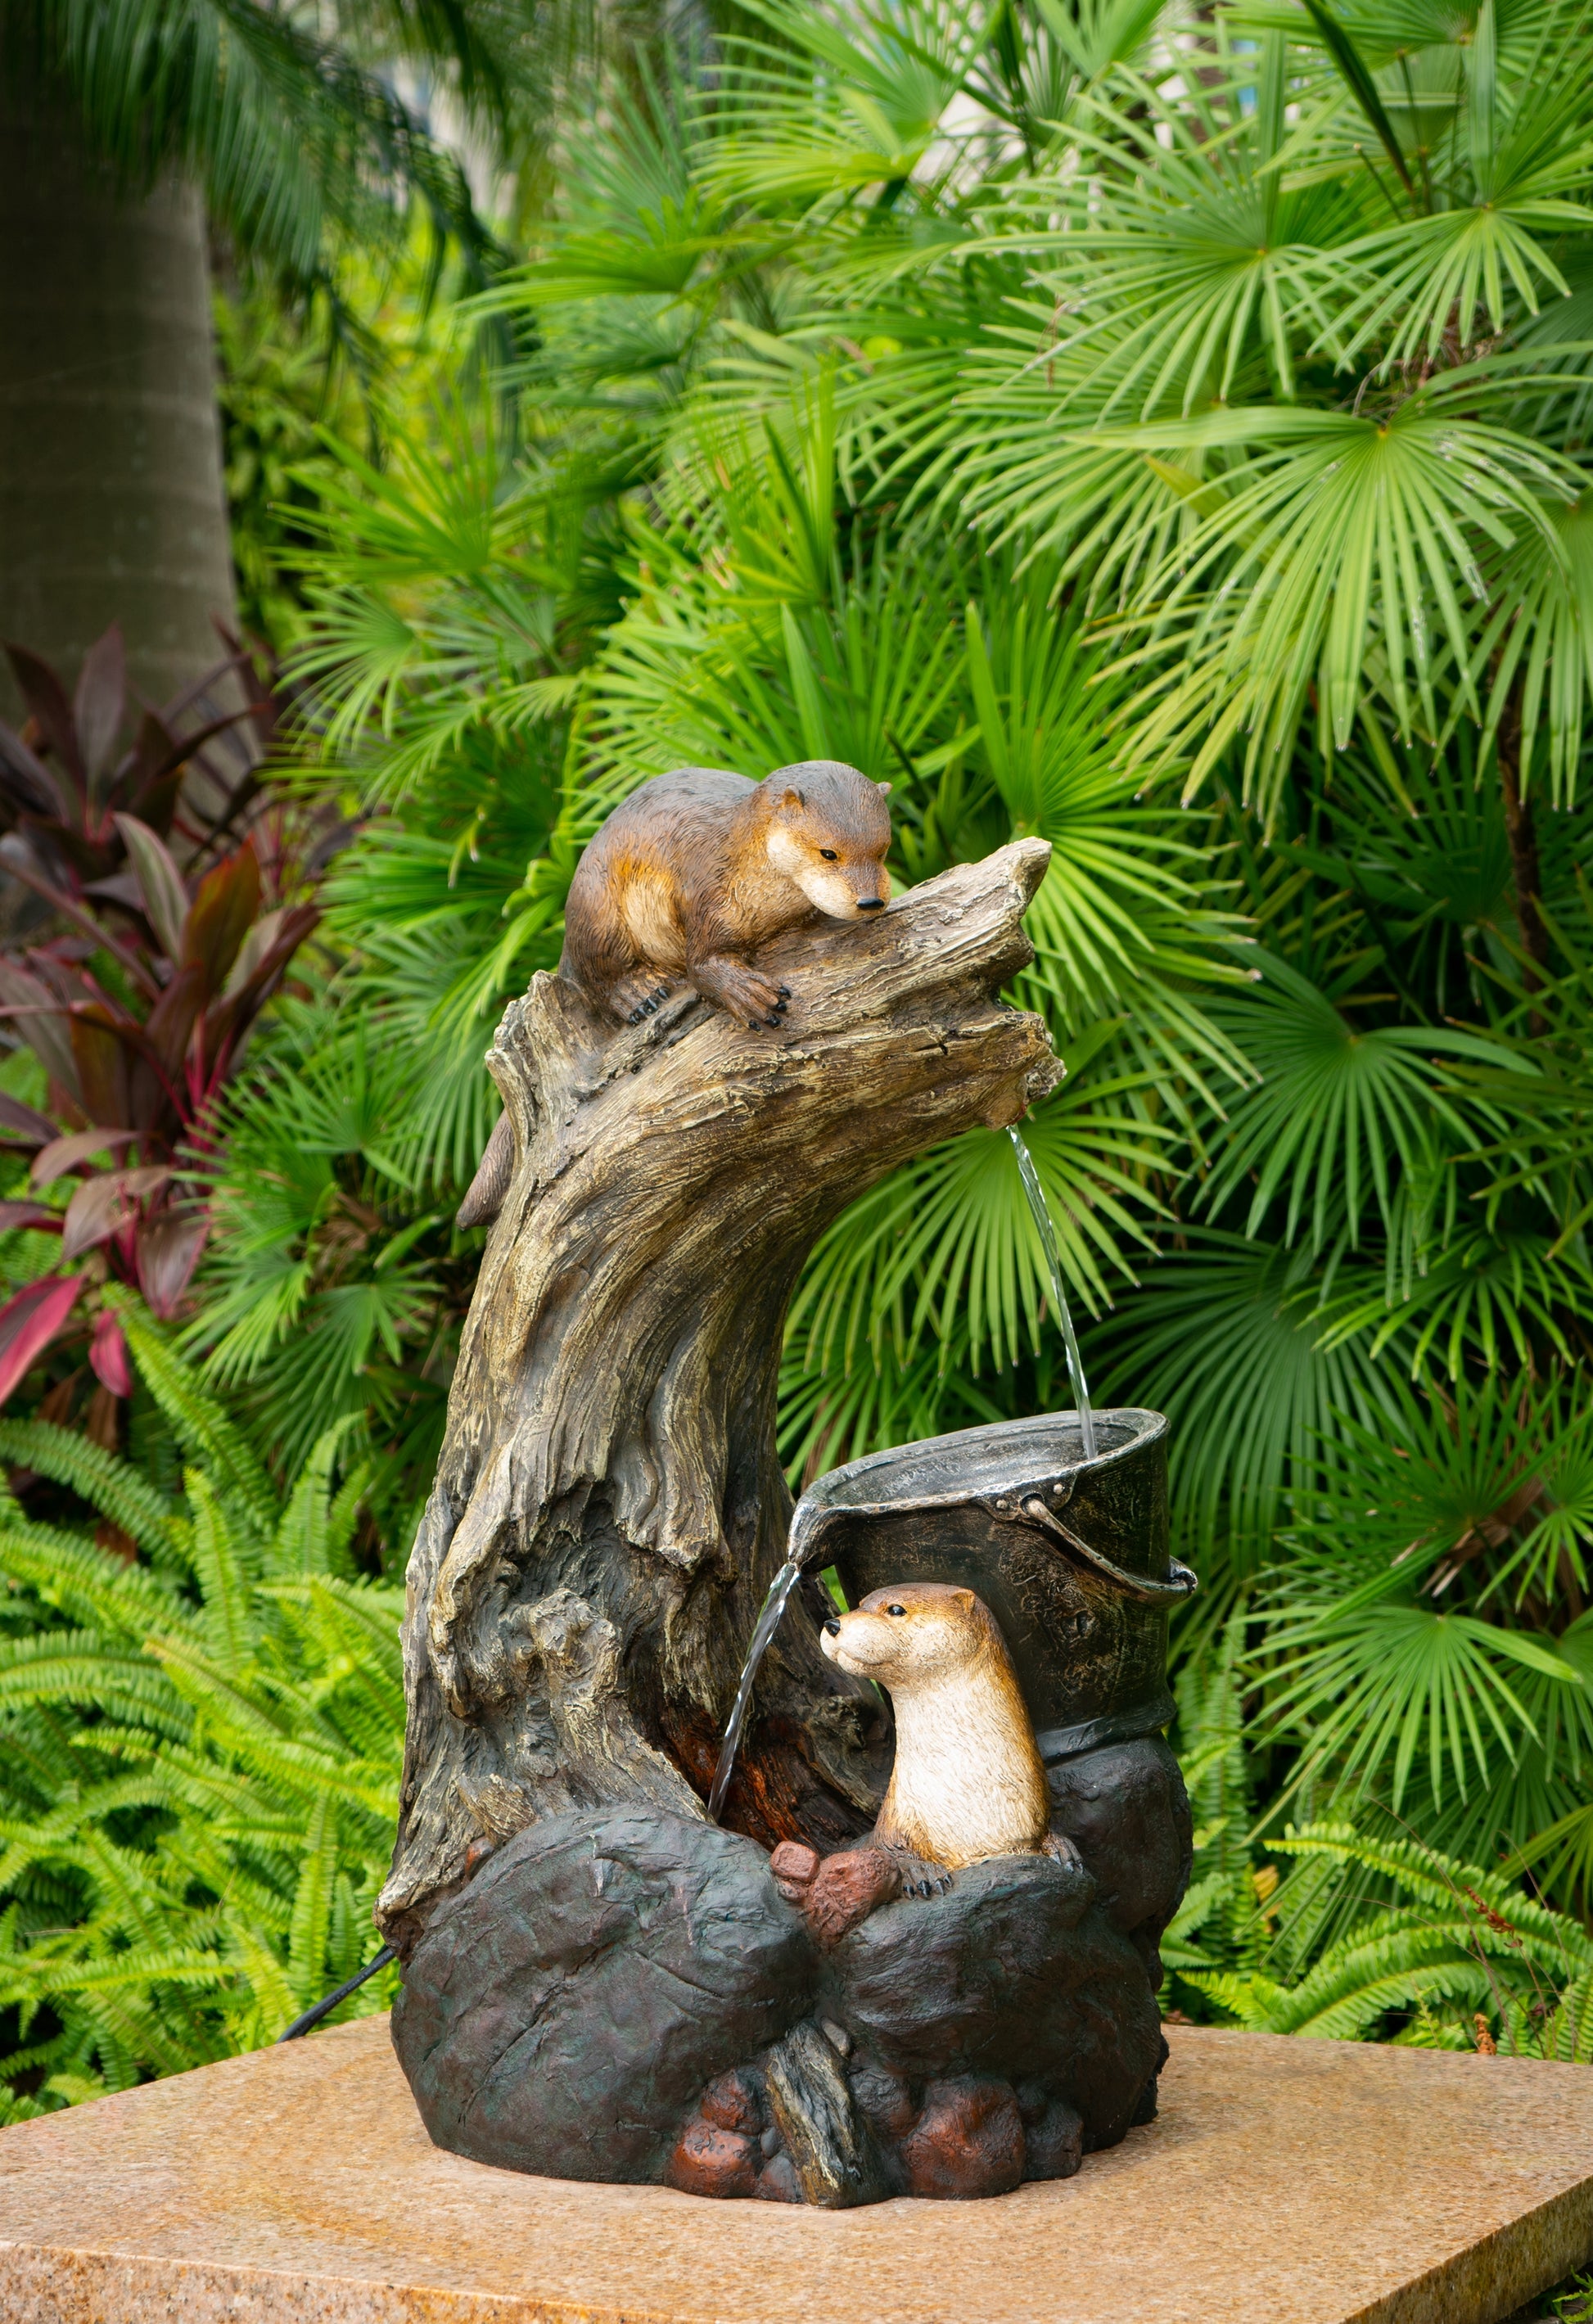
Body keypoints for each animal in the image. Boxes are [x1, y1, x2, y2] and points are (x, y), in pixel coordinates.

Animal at [560, 760, 893, 1031]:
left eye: (882, 851)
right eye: (828, 853)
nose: (870, 901)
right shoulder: (706, 895)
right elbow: (699, 966)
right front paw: (747, 993)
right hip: (596, 907)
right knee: (594, 974)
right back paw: (639, 994)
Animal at [818, 1583, 1065, 1874]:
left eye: (896, 1609)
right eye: (859, 1604)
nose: (832, 1624)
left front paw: (1060, 1848)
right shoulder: (893, 1828)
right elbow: (890, 1853)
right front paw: (920, 1871)